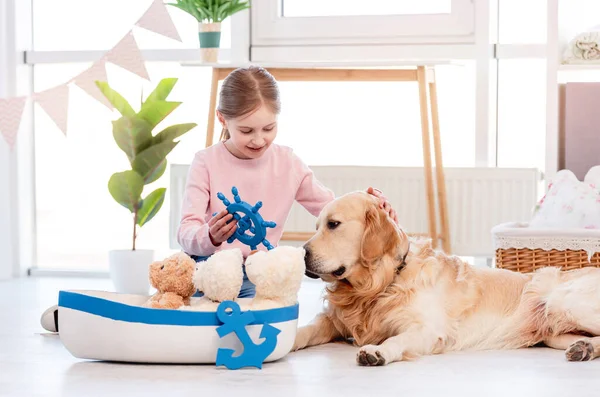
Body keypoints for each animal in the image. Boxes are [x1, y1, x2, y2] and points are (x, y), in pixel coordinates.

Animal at [292, 190, 600, 364]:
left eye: (333, 224)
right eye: (317, 226)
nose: (301, 255)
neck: (380, 285)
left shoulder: (427, 329)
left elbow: (395, 340)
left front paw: (377, 352)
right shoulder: (332, 320)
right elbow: (306, 330)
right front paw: (290, 341)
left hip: (563, 302)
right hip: (553, 333)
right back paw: (583, 348)